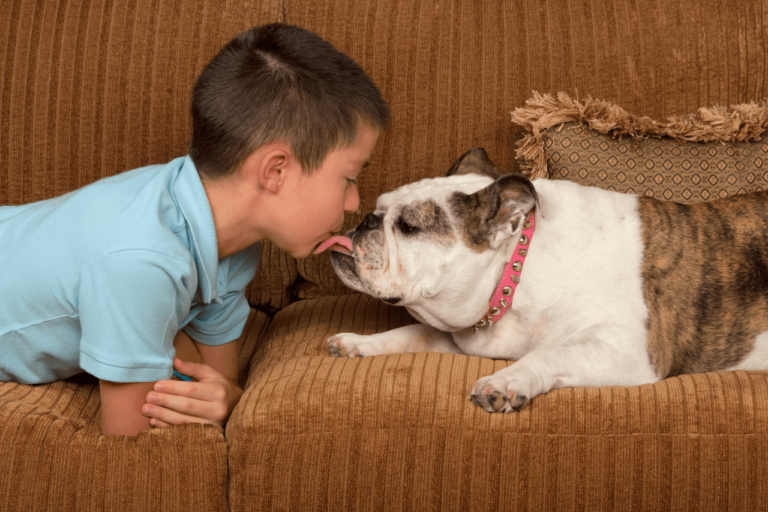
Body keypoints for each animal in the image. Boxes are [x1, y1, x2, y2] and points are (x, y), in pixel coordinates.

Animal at [316, 147, 768, 412]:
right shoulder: (463, 336)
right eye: (378, 208)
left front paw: (506, 379)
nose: (366, 221)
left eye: (409, 227)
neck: (517, 269)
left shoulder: (627, 350)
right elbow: (414, 332)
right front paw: (361, 343)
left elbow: (548, 355)